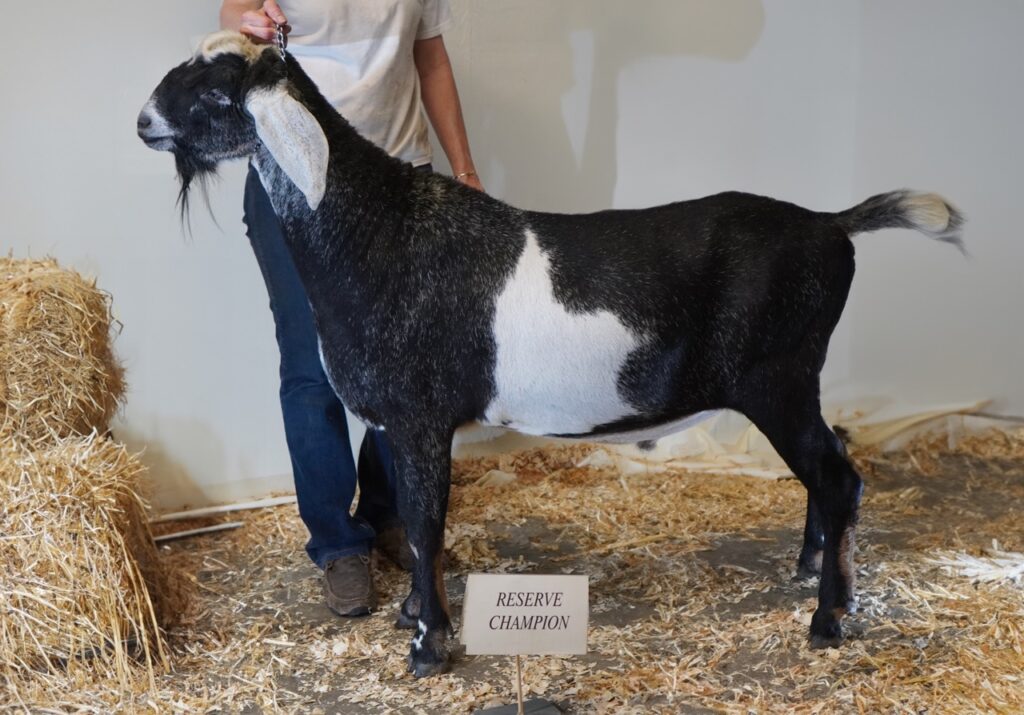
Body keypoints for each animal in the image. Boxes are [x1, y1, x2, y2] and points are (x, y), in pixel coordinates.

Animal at [138, 31, 963, 678]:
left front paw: (427, 645)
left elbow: (428, 522)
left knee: (840, 475)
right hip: (798, 383)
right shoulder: (393, 422)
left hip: (779, 380)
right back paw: (809, 568)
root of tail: (832, 224)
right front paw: (413, 611)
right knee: (834, 462)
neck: (379, 231)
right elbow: (410, 516)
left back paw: (830, 617)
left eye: (211, 90)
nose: (143, 120)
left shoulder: (420, 417)